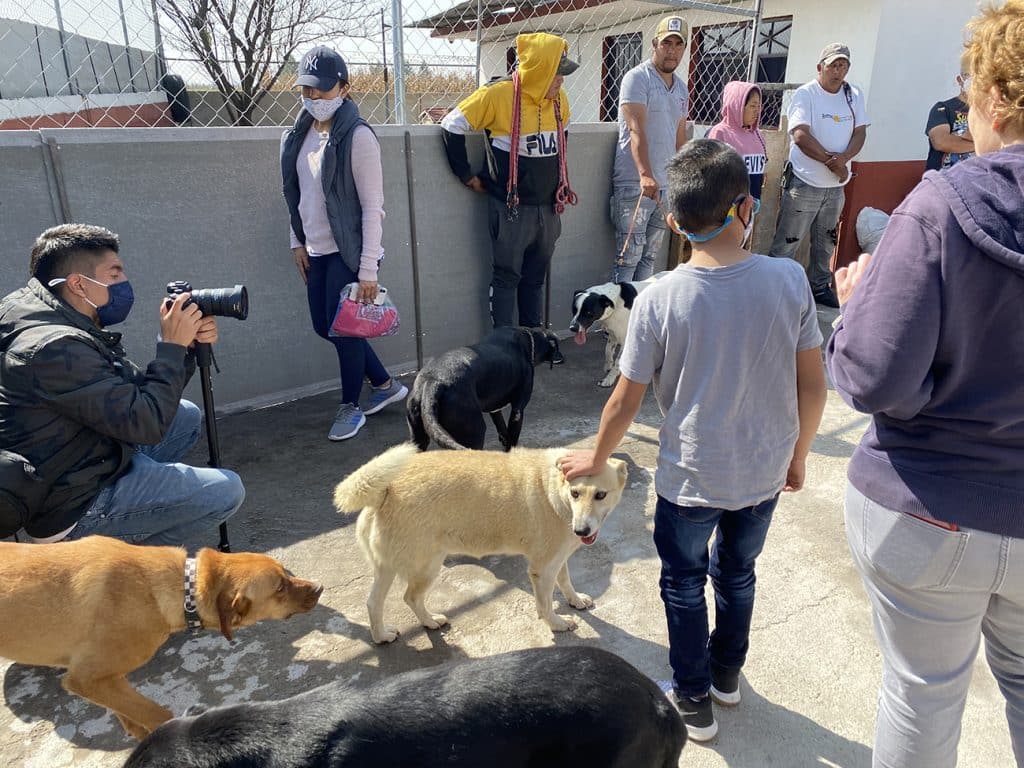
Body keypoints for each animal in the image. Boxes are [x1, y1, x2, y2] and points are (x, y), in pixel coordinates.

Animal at [0, 536, 319, 741]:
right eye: (280, 588)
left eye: (286, 574)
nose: (319, 587)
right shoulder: (86, 678)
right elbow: (158, 715)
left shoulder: (103, 680)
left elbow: (128, 713)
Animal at [331, 444, 626, 643]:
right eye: (575, 493)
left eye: (600, 495)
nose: (581, 530)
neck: (553, 488)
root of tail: (385, 491)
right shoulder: (542, 569)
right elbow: (544, 605)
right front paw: (556, 624)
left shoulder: (557, 559)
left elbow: (565, 582)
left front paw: (575, 600)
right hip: (427, 566)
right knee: (410, 597)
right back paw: (429, 621)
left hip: (389, 567)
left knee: (373, 603)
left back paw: (381, 636)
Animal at [403, 327, 561, 454]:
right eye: (558, 346)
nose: (562, 358)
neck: (529, 339)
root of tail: (433, 381)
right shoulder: (518, 410)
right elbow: (512, 439)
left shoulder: (495, 408)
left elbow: (503, 429)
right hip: (475, 433)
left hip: (418, 438)